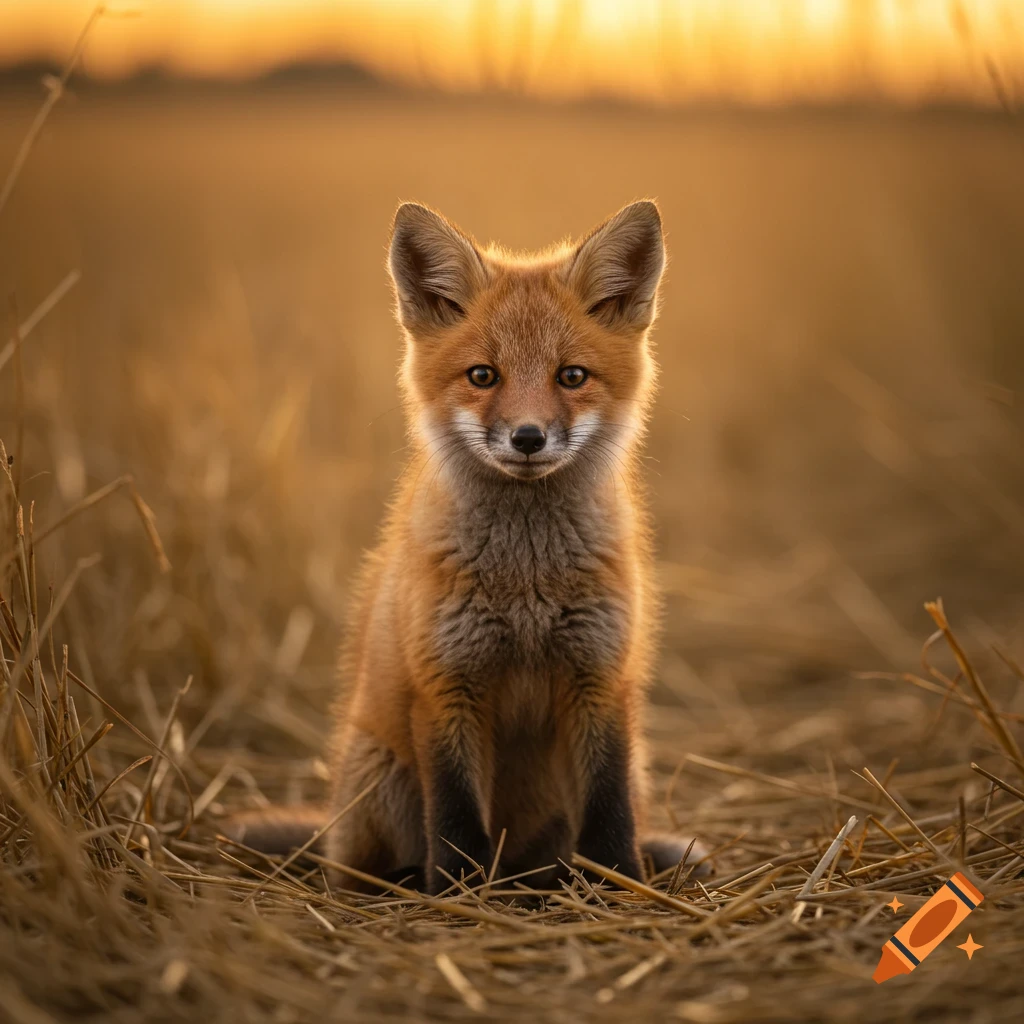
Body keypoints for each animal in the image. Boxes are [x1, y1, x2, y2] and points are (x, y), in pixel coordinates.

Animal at [226, 200, 704, 894]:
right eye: (483, 375)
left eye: (572, 376)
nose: (528, 437)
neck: (528, 584)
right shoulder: (447, 682)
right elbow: (454, 815)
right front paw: (457, 890)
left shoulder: (600, 676)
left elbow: (609, 808)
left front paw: (617, 880)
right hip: (381, 775)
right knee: (362, 867)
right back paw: (415, 881)